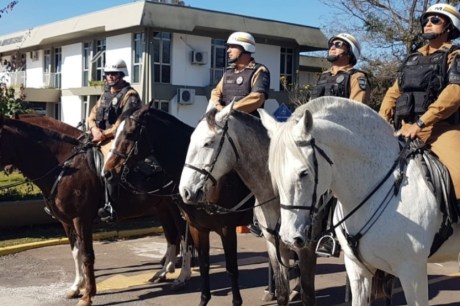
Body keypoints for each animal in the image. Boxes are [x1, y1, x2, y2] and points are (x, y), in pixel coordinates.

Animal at [0, 115, 191, 306]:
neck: (65, 166)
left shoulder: (81, 219)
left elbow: (87, 255)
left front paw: (88, 295)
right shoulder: (66, 222)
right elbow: (76, 253)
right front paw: (76, 287)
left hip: (177, 205)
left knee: (183, 236)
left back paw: (182, 277)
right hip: (163, 206)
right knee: (171, 236)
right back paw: (163, 272)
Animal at [178, 103, 322, 306]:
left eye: (208, 142)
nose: (185, 191)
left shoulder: (306, 248)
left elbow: (232, 267)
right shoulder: (198, 228)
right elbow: (205, 265)